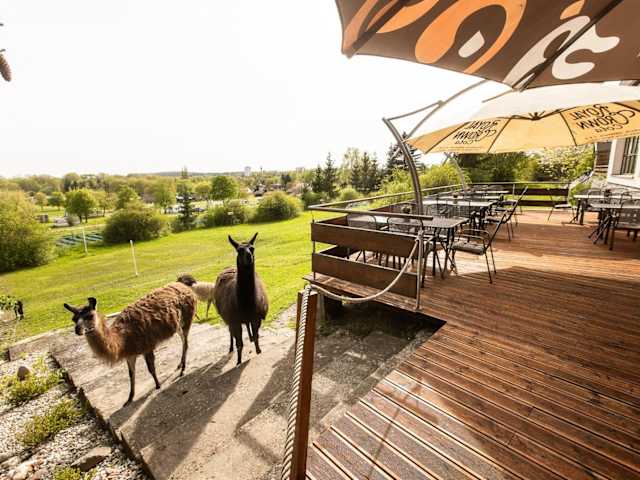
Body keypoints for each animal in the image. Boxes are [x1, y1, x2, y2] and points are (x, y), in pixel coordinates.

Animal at [63, 282, 197, 407]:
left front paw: (158, 385)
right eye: (74, 319)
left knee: (185, 342)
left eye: (89, 316)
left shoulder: (146, 346)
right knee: (184, 341)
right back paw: (180, 365)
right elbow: (131, 374)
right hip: (177, 325)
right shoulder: (130, 355)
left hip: (186, 319)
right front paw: (129, 398)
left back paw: (183, 369)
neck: (122, 341)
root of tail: (182, 285)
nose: (77, 330)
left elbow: (151, 368)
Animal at [214, 232, 269, 365]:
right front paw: (238, 361)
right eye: (239, 250)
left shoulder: (256, 317)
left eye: (252, 248)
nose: (249, 257)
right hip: (228, 318)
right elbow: (239, 343)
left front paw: (258, 350)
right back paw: (230, 348)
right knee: (230, 333)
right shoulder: (234, 320)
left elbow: (256, 336)